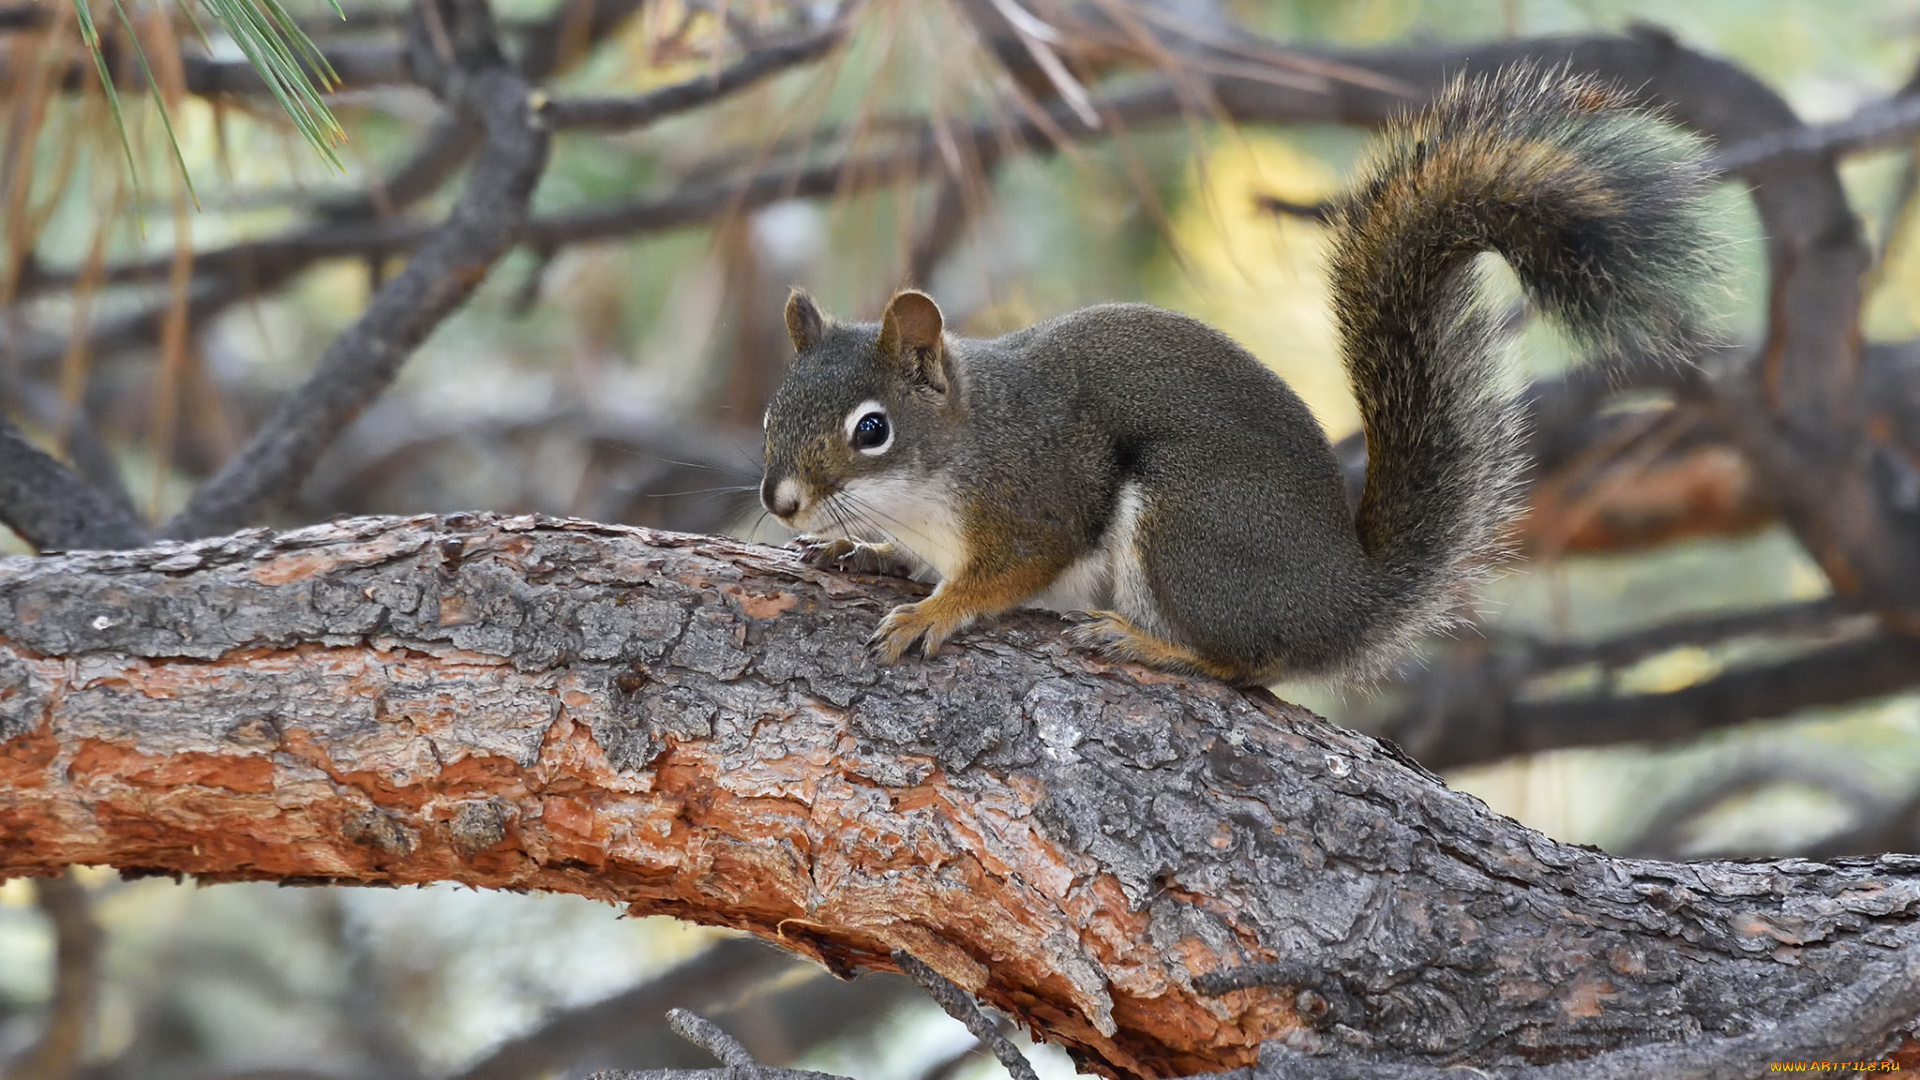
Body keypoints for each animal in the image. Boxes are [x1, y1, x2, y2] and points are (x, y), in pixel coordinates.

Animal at [756, 67, 1720, 680]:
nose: (781, 502)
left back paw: (1153, 646)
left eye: (872, 429)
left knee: (1249, 663)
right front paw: (864, 551)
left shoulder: (1040, 493)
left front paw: (933, 610)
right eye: (771, 415)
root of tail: (1339, 597)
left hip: (1190, 523)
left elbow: (1009, 571)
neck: (942, 467)